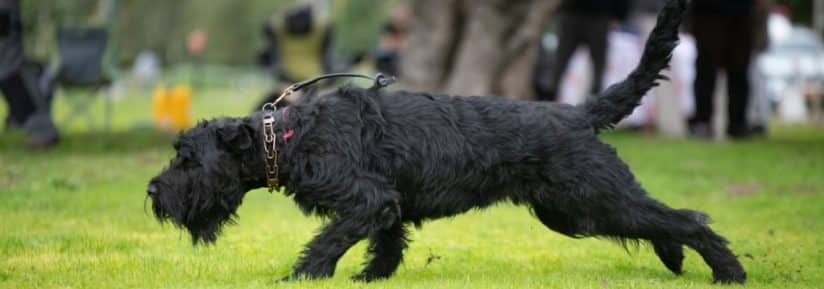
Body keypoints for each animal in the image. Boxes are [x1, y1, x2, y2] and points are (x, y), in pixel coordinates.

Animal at [148, 0, 748, 284]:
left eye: (186, 157)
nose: (153, 192)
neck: (287, 136)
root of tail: (580, 113)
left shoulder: (365, 199)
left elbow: (327, 243)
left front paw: (298, 278)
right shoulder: (386, 206)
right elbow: (386, 246)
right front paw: (369, 279)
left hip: (592, 197)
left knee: (687, 218)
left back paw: (728, 272)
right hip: (572, 211)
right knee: (660, 221)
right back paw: (676, 259)